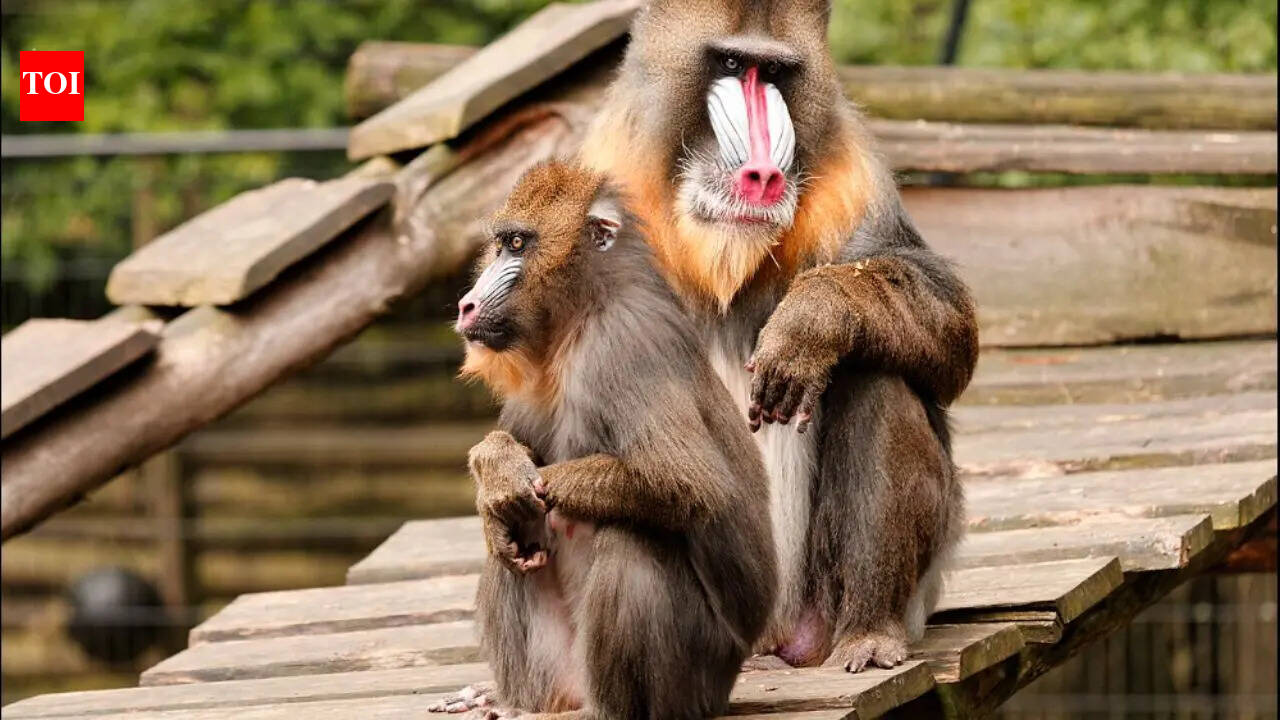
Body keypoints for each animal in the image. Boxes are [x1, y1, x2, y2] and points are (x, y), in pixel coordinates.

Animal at [429, 161, 777, 719]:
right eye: (500, 244)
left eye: (518, 244)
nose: (467, 305)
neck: (577, 318)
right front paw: (497, 474)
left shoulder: (625, 344)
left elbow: (689, 484)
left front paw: (518, 485)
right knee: (508, 548)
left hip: (694, 680)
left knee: (630, 541)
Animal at [577, 0, 979, 673]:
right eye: (731, 64)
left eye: (775, 73)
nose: (762, 173)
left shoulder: (854, 181)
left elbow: (949, 329)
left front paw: (811, 321)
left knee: (877, 373)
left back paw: (870, 632)